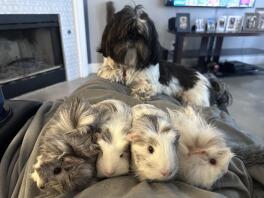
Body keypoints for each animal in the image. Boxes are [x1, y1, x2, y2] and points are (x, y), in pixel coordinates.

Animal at [97, 4, 231, 106]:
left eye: (142, 35)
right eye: (125, 32)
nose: (133, 37)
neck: (130, 63)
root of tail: (208, 81)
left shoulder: (153, 83)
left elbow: (146, 85)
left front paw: (141, 92)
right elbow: (107, 70)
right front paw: (115, 73)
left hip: (195, 98)